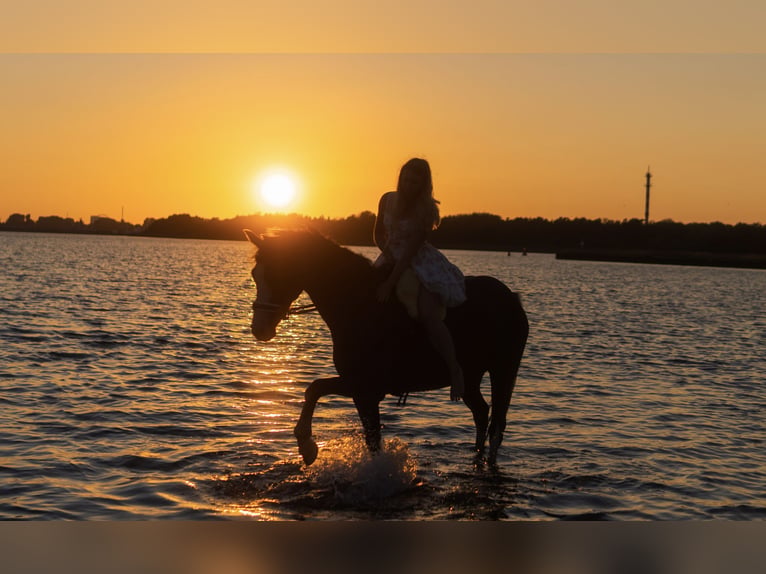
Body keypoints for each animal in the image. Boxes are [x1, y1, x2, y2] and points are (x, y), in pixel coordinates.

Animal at [244, 229, 529, 466]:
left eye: (278, 273)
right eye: (255, 274)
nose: (260, 330)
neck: (359, 303)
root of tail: (511, 297)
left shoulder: (365, 387)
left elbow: (319, 393)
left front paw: (307, 445)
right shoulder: (359, 388)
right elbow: (320, 394)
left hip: (503, 371)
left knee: (497, 424)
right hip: (470, 379)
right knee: (481, 413)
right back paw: (477, 457)